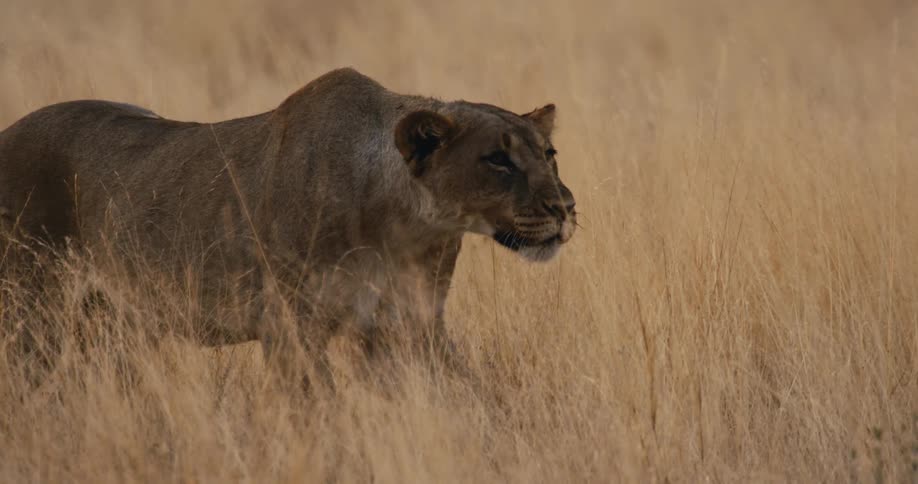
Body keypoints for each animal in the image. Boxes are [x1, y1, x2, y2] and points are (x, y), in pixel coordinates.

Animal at [0, 67, 577, 388]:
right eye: (497, 160)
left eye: (549, 154)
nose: (566, 207)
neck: (408, 228)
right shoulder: (288, 326)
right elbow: (317, 412)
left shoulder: (415, 325)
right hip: (31, 317)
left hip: (108, 326)